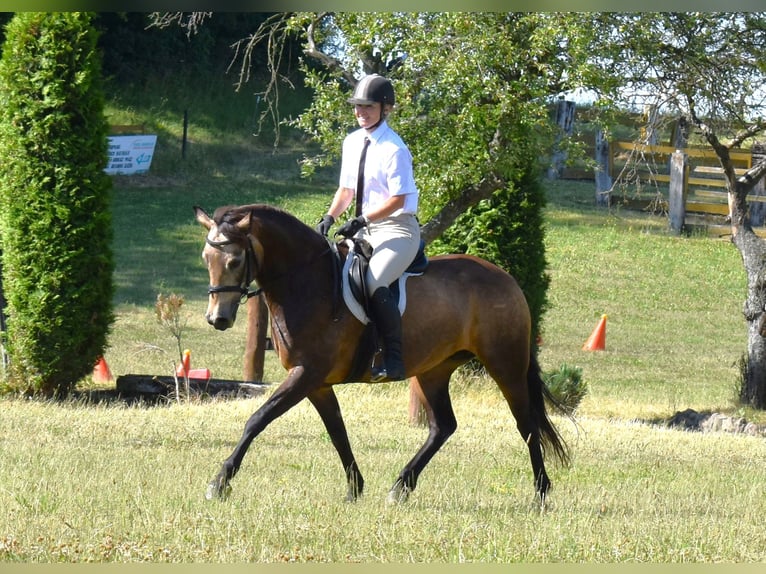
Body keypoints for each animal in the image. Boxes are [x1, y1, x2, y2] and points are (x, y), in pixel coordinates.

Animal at [196, 205, 568, 506]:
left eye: (234, 260)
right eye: (205, 258)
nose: (217, 319)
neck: (307, 281)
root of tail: (506, 278)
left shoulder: (306, 374)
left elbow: (258, 419)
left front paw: (219, 482)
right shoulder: (316, 383)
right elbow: (337, 431)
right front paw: (355, 488)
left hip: (504, 363)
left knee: (526, 424)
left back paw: (541, 494)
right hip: (433, 370)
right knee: (443, 426)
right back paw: (400, 487)